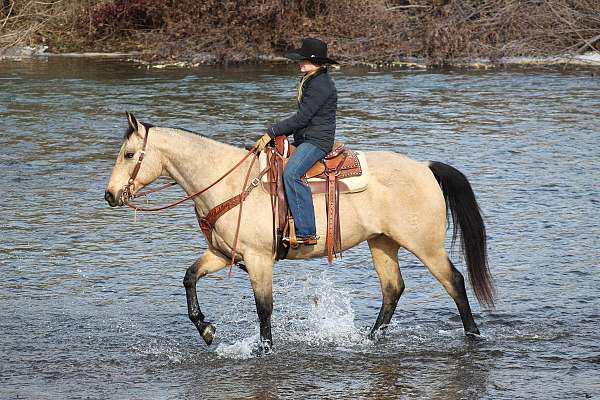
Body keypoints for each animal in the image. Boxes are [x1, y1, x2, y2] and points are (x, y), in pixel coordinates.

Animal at [104, 112, 496, 350]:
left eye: (128, 154)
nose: (109, 195)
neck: (231, 181)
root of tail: (425, 167)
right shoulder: (221, 253)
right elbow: (189, 278)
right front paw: (206, 329)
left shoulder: (259, 258)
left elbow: (264, 308)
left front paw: (264, 349)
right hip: (382, 243)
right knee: (392, 290)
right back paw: (369, 339)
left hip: (424, 245)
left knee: (454, 281)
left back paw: (473, 335)